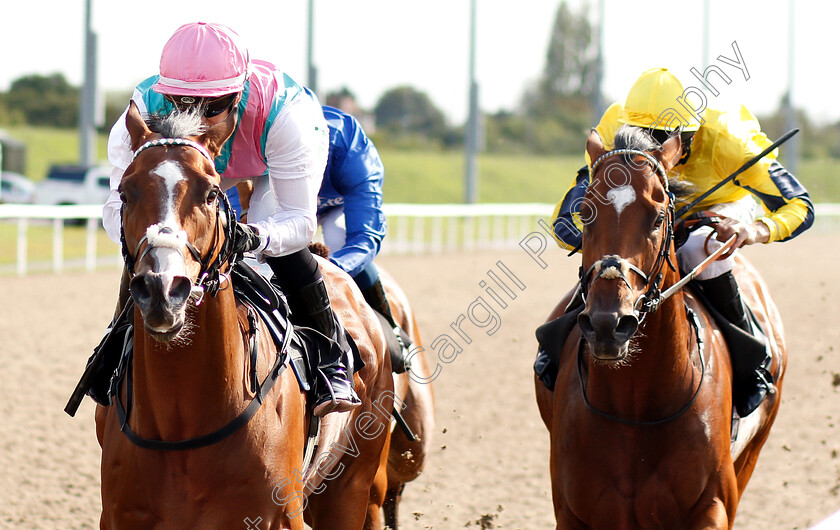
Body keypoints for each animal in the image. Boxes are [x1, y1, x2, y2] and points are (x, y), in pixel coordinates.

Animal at [97, 101, 398, 524]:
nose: (162, 289)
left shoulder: (280, 516)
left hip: (354, 485)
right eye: (124, 192)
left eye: (211, 193)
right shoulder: (120, 516)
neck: (181, 426)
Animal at [540, 129, 788, 528]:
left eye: (658, 218)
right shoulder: (574, 511)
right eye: (584, 213)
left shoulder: (714, 504)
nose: (608, 324)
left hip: (752, 452)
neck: (635, 410)